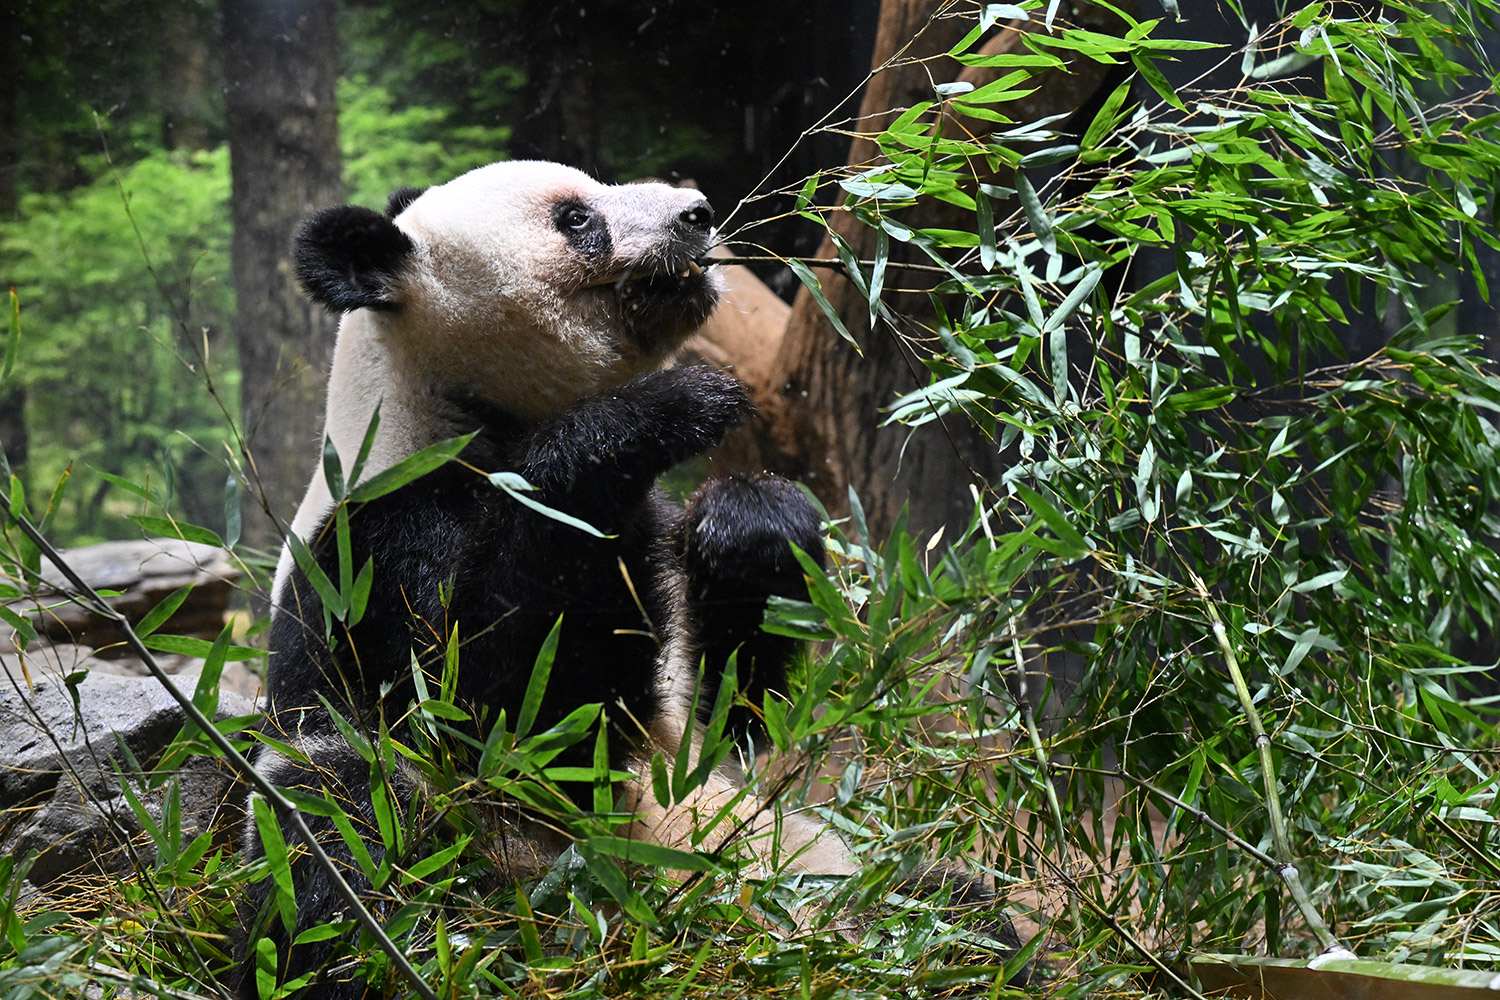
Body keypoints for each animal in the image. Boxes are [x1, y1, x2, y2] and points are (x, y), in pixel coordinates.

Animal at [242, 161, 860, 999]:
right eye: (575, 220)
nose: (698, 213)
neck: (440, 403)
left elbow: (734, 715)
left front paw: (752, 526)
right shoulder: (381, 544)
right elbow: (494, 698)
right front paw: (678, 402)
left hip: (788, 843)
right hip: (377, 807)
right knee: (337, 850)